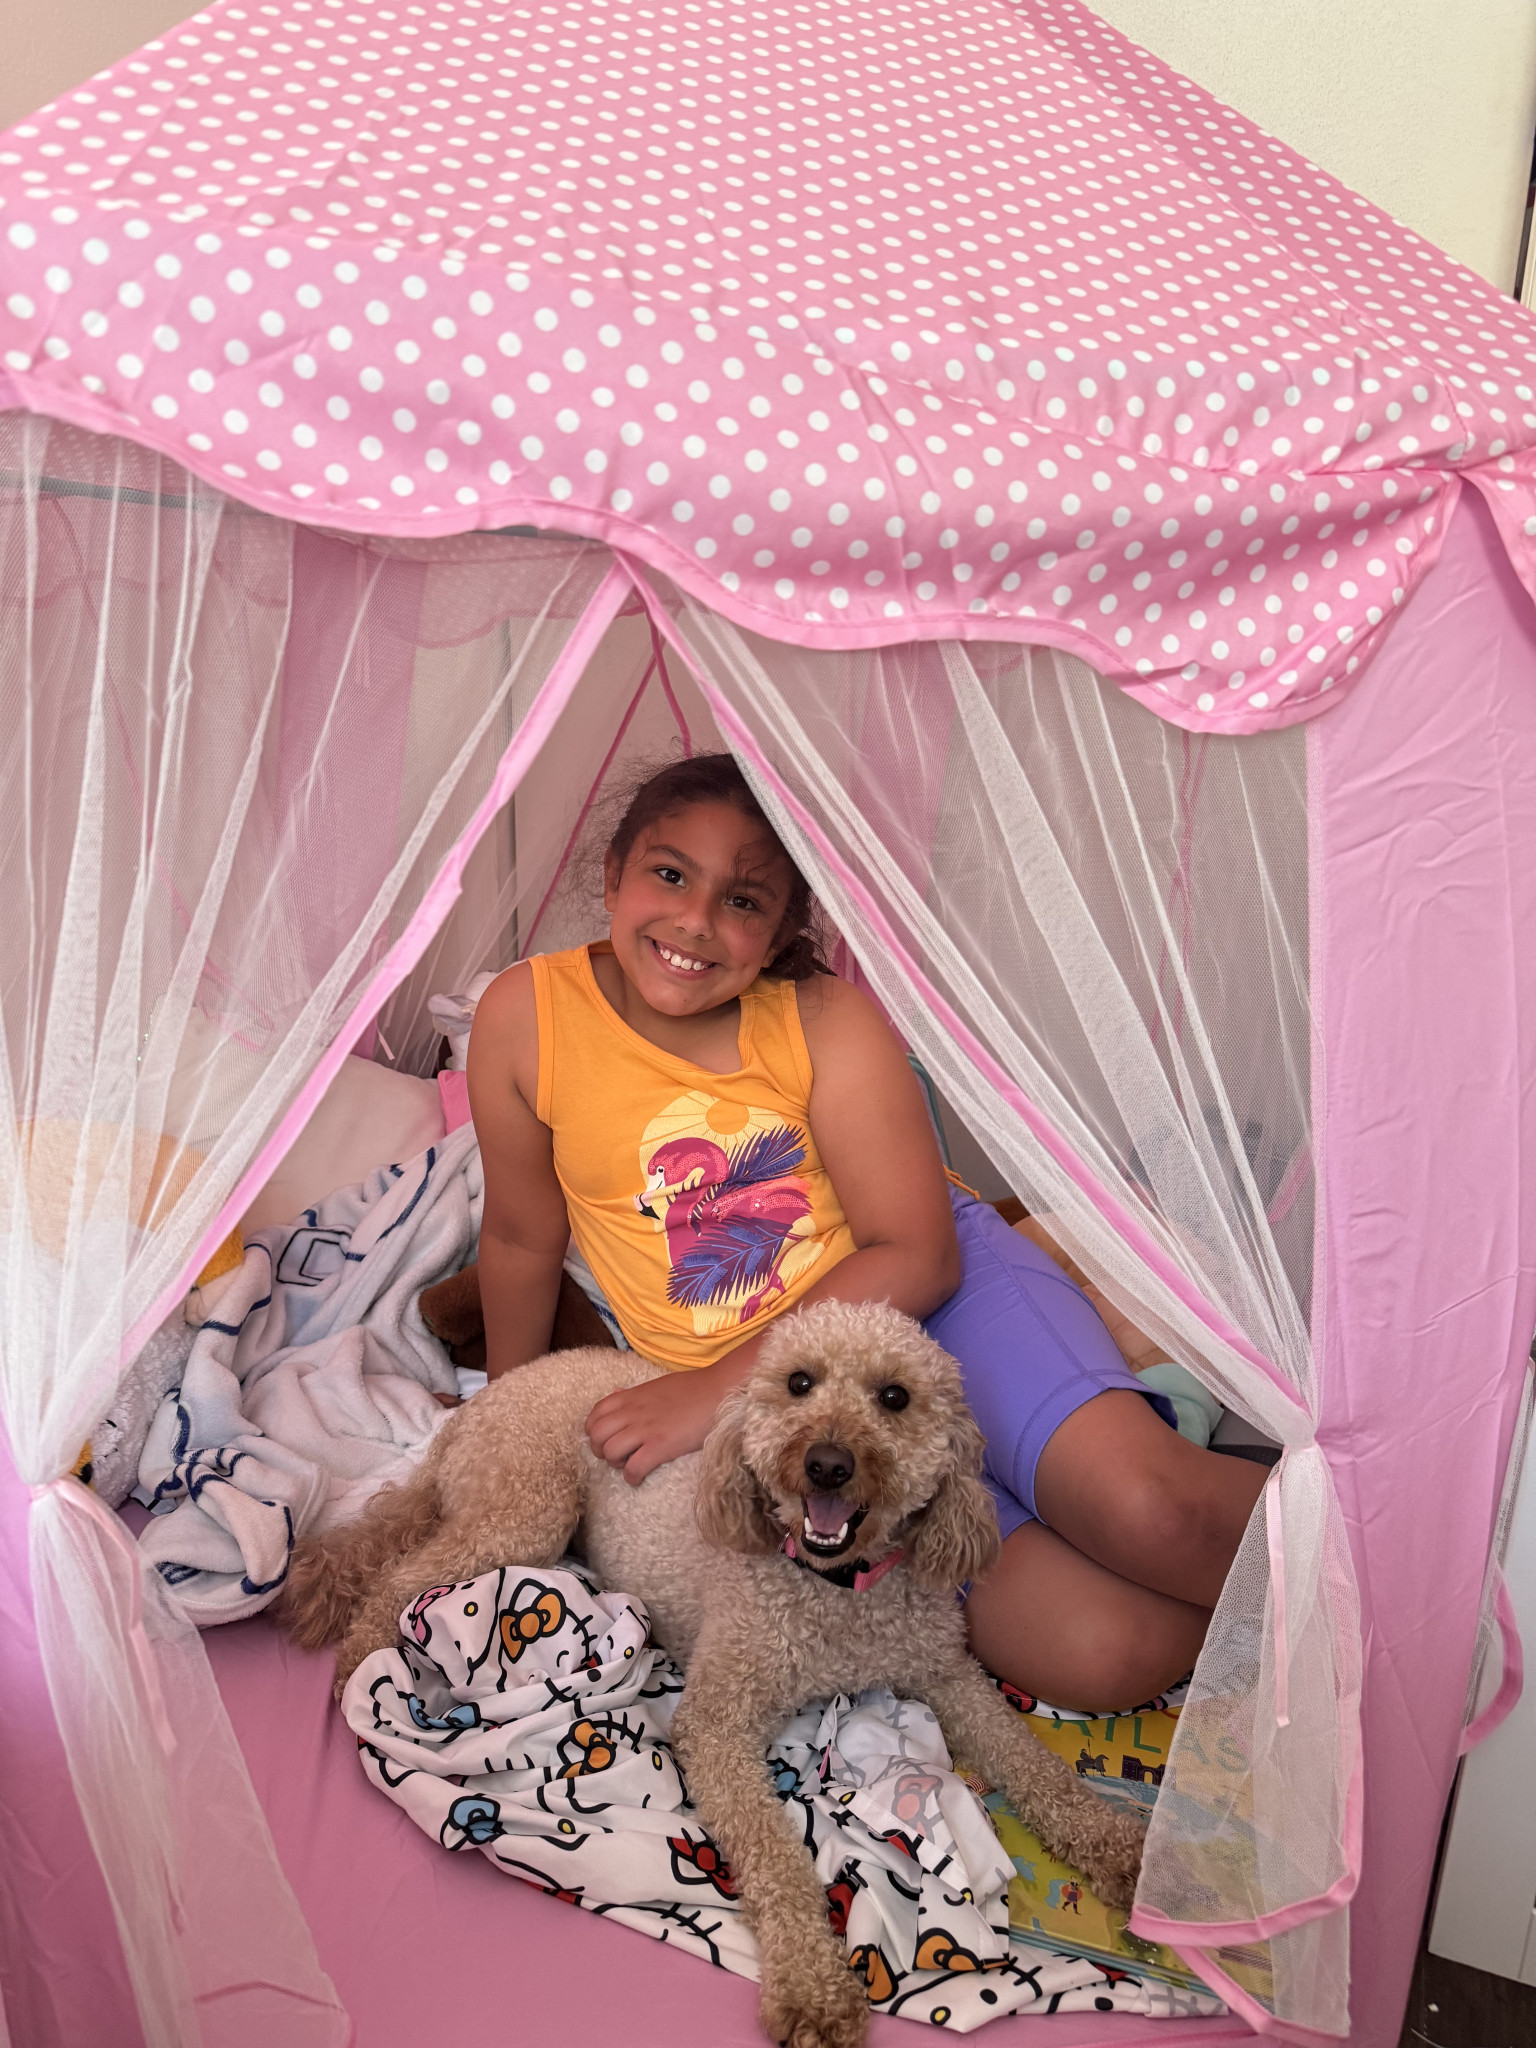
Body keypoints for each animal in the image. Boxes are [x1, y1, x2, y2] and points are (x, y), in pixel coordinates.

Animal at [280, 1300, 1146, 2048]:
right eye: (798, 1382)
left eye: (895, 1398)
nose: (826, 1464)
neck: (839, 1591)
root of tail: (480, 1404)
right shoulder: (719, 1721)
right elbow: (775, 1858)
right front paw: (811, 1990)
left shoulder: (950, 1675)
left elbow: (1035, 1766)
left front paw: (1125, 1855)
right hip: (525, 1510)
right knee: (401, 1577)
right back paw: (365, 1666)